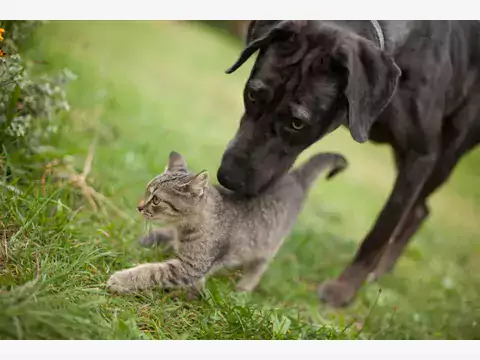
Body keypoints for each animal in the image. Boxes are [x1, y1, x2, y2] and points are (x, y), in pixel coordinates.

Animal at [107, 150, 346, 294]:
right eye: (147, 190)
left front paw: (121, 280)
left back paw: (242, 290)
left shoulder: (190, 266)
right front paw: (141, 242)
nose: (139, 207)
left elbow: (151, 272)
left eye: (156, 199)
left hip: (267, 247)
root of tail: (294, 178)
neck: (183, 228)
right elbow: (160, 237)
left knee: (258, 268)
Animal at [218, 20, 480, 306]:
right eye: (253, 95)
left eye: (298, 123)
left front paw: (343, 289)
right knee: (420, 210)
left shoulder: (420, 156)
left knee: (417, 209)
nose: (228, 177)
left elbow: (381, 230)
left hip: (447, 154)